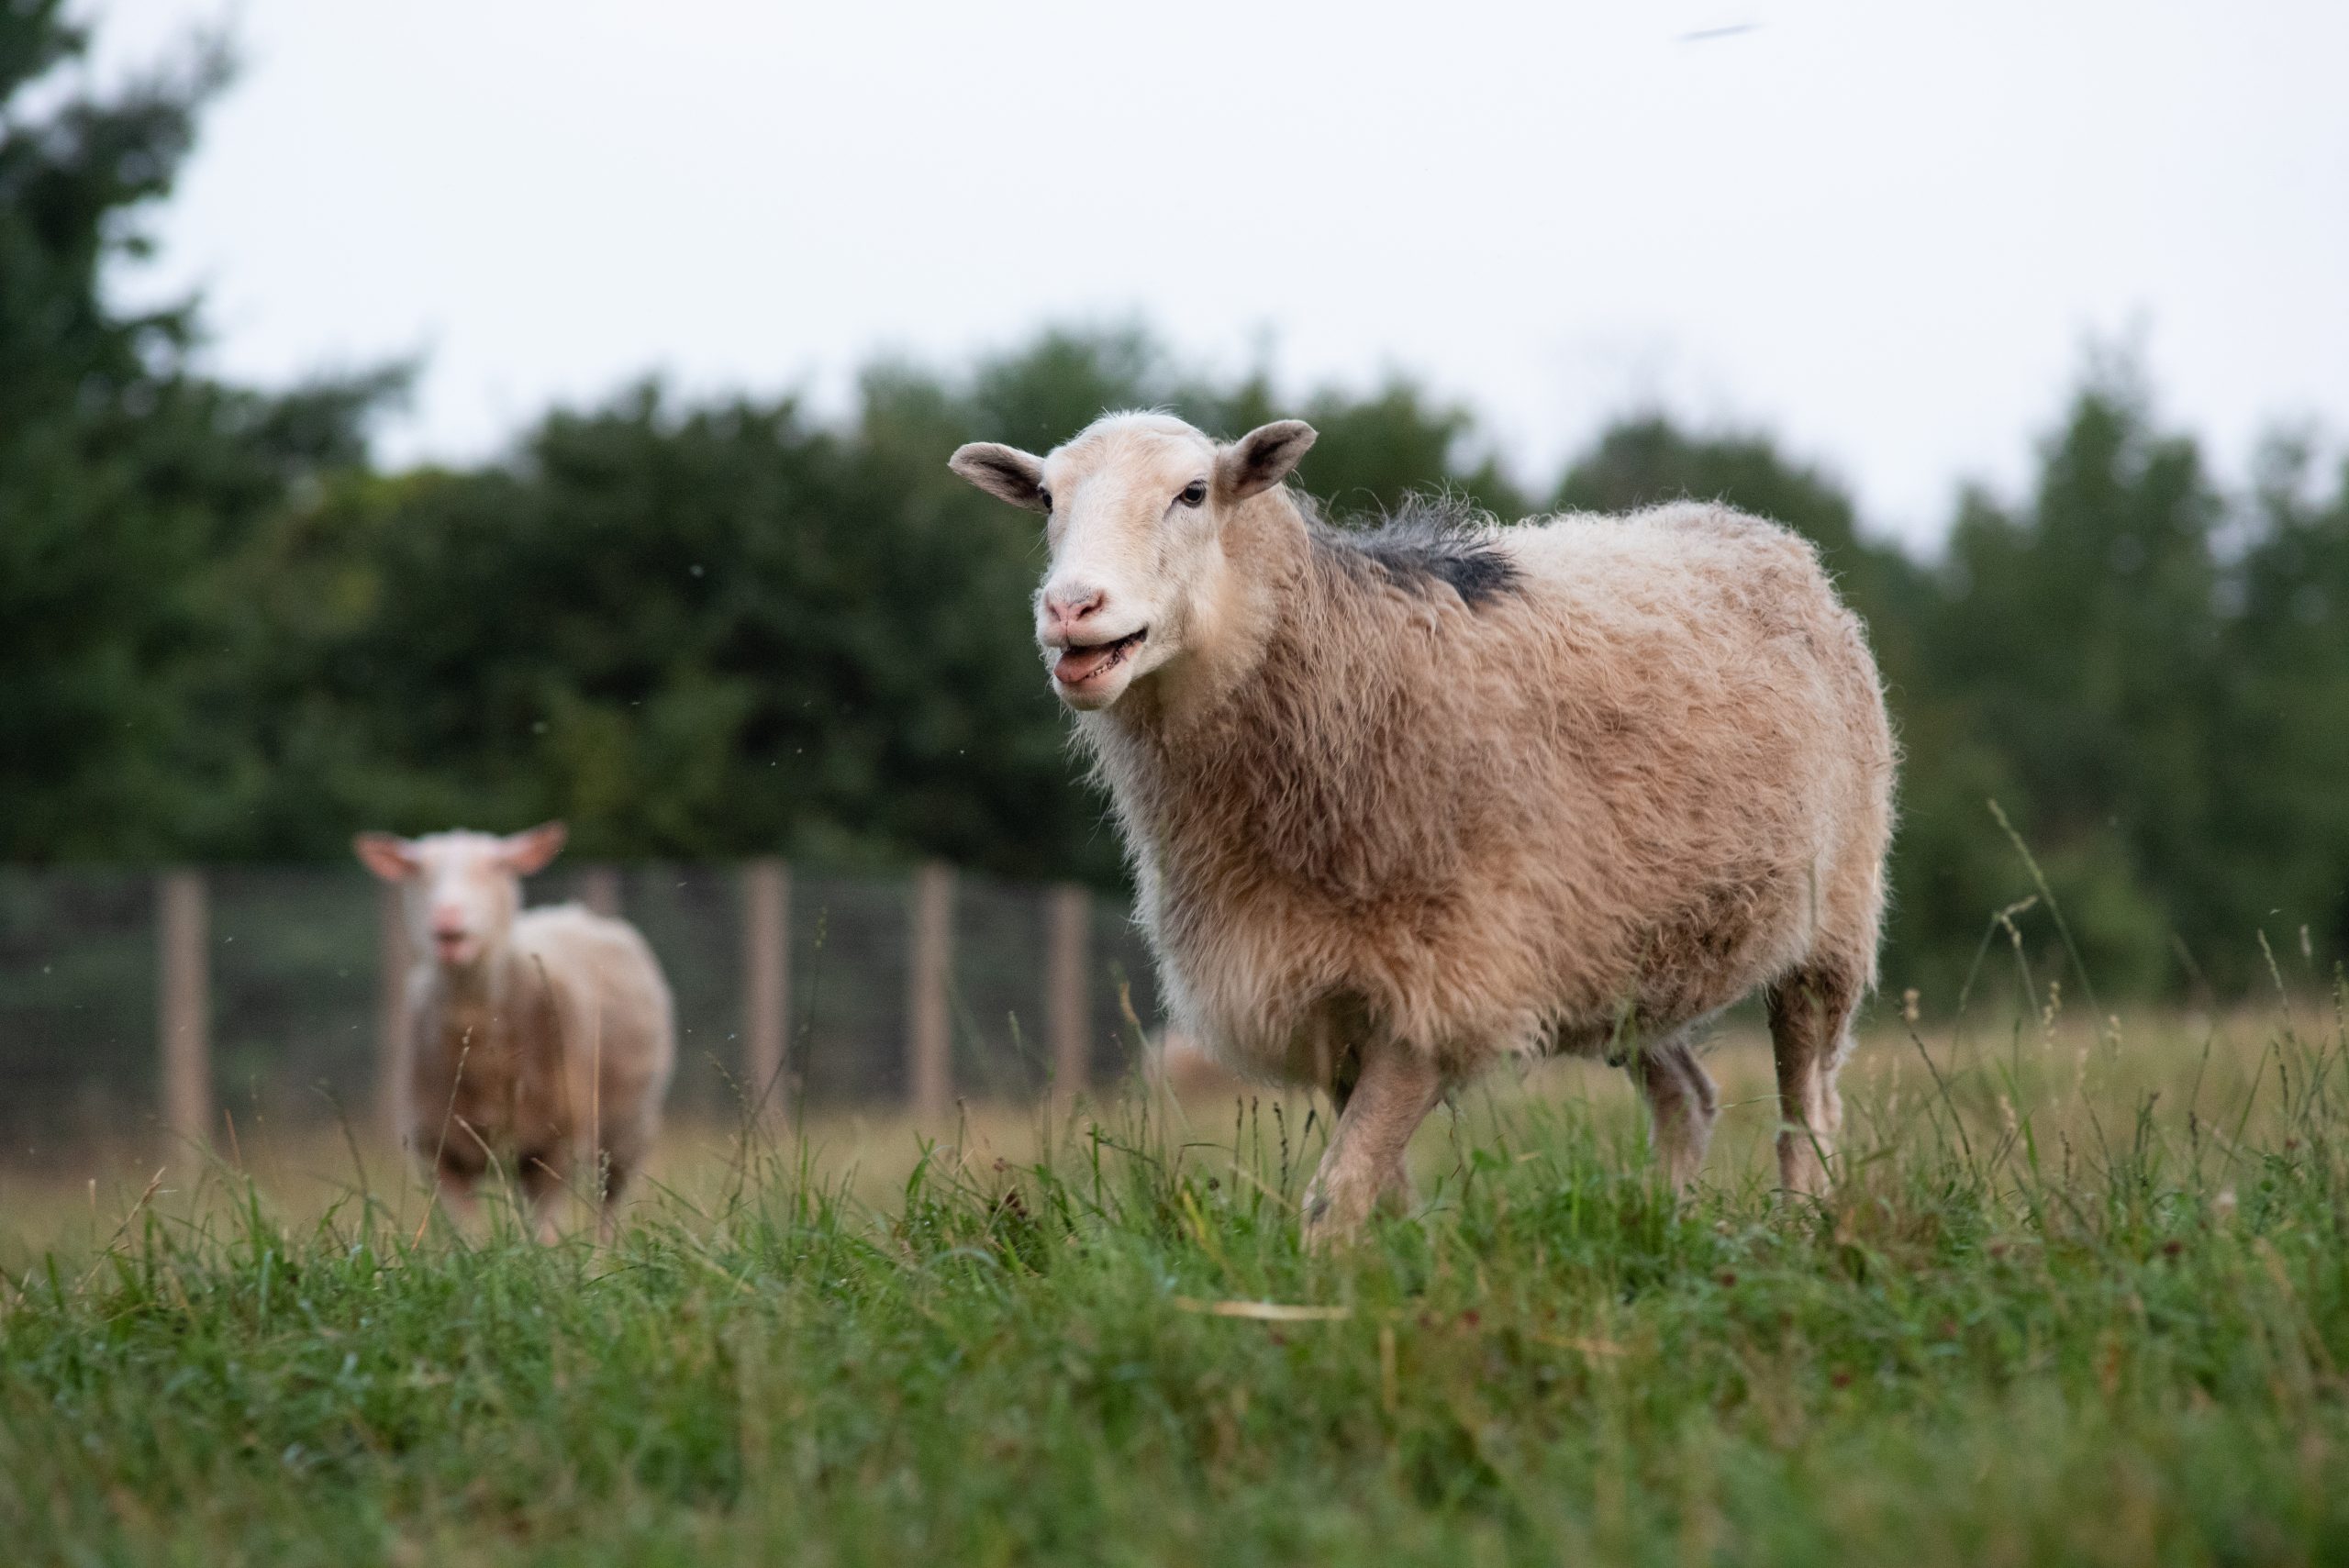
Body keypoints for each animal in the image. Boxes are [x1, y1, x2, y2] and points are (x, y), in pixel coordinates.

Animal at [352, 821, 676, 1239]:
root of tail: (572, 910)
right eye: (418, 871)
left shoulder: (556, 1147)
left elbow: (545, 1232)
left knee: (608, 1203)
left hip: (627, 1132)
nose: (447, 917)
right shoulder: (438, 1152)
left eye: (497, 866)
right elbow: (466, 1235)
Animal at [944, 410, 1898, 1239]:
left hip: (1831, 927)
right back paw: (1661, 1229)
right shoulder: (1324, 997)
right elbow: (1374, 1186)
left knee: (1810, 1106)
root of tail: (1754, 531)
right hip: (1620, 958)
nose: (1070, 608)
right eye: (1047, 500)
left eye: (1193, 493)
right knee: (1689, 1098)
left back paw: (1800, 1231)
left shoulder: (1444, 981)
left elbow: (1337, 1191)